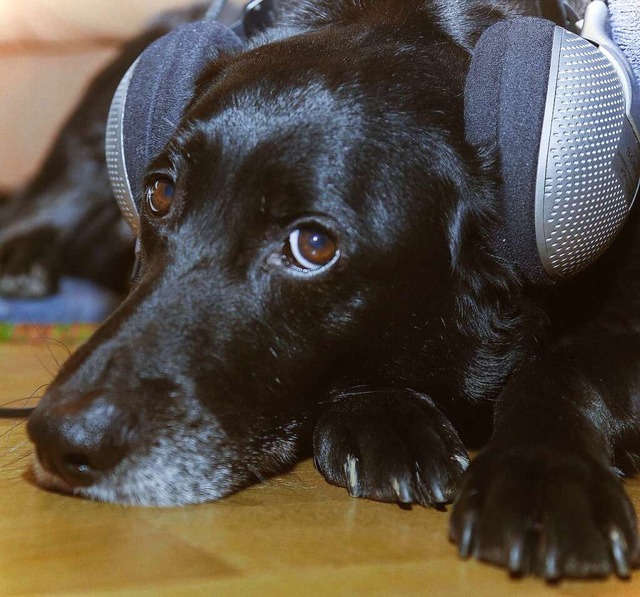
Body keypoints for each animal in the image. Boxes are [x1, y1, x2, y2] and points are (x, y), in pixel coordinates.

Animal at [20, 0, 640, 580]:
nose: (57, 436)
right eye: (160, 194)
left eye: (314, 245)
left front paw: (544, 472)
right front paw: (384, 416)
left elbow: (562, 369)